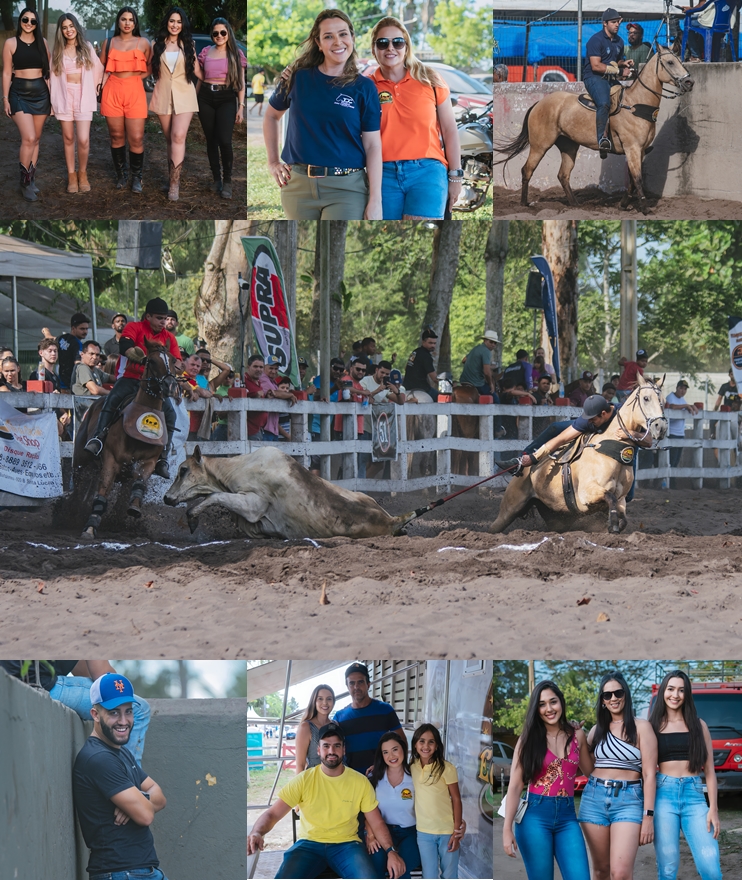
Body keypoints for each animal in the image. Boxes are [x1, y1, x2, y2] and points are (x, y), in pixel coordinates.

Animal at [164, 446, 412, 536]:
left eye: (183, 469)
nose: (166, 497)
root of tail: (392, 520)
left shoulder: (254, 505)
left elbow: (215, 496)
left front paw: (192, 518)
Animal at [492, 374, 672, 532]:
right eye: (646, 398)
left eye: (663, 401)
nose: (661, 428)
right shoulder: (587, 493)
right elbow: (610, 497)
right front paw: (612, 524)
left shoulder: (622, 499)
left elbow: (623, 517)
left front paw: (614, 524)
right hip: (510, 508)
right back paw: (517, 461)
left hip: (555, 516)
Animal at [496, 47, 696, 214]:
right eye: (670, 62)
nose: (689, 81)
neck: (635, 105)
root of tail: (538, 103)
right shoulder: (632, 148)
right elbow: (638, 179)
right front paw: (645, 209)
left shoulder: (639, 151)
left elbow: (632, 180)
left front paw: (624, 204)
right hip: (540, 145)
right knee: (527, 170)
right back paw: (524, 204)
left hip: (569, 146)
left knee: (563, 175)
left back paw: (575, 205)